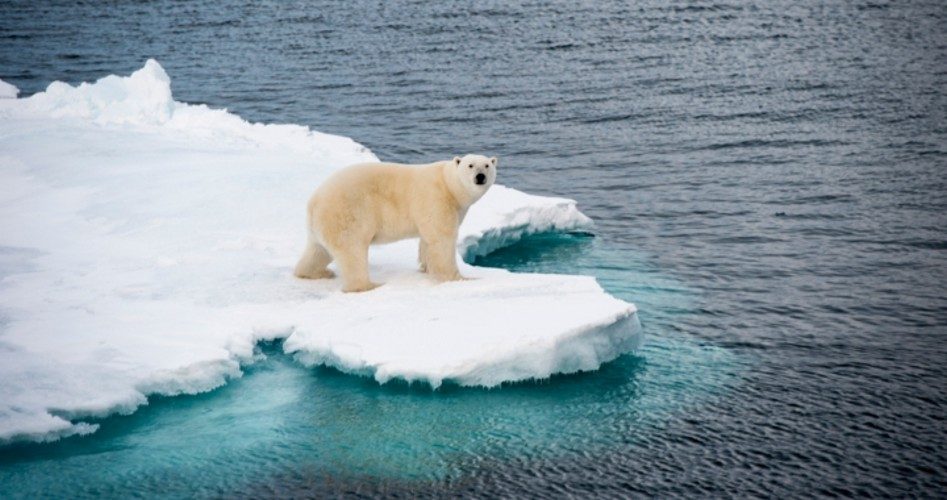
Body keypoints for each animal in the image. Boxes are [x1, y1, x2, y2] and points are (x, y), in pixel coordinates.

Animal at [294, 154, 497, 292]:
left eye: (487, 165)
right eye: (470, 165)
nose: (480, 176)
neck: (449, 185)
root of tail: (314, 202)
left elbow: (426, 240)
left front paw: (425, 268)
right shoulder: (436, 198)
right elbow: (441, 239)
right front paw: (460, 278)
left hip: (321, 224)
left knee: (318, 250)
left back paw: (316, 273)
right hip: (347, 213)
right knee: (352, 251)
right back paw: (368, 285)